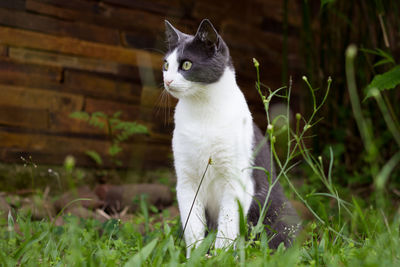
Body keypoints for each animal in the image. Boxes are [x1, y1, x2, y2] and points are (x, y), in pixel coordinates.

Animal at [162, 18, 296, 258]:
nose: (167, 80)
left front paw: (220, 256)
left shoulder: (237, 180)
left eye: (186, 65)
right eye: (166, 65)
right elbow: (192, 225)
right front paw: (195, 255)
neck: (201, 112)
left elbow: (227, 223)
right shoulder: (186, 180)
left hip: (277, 212)